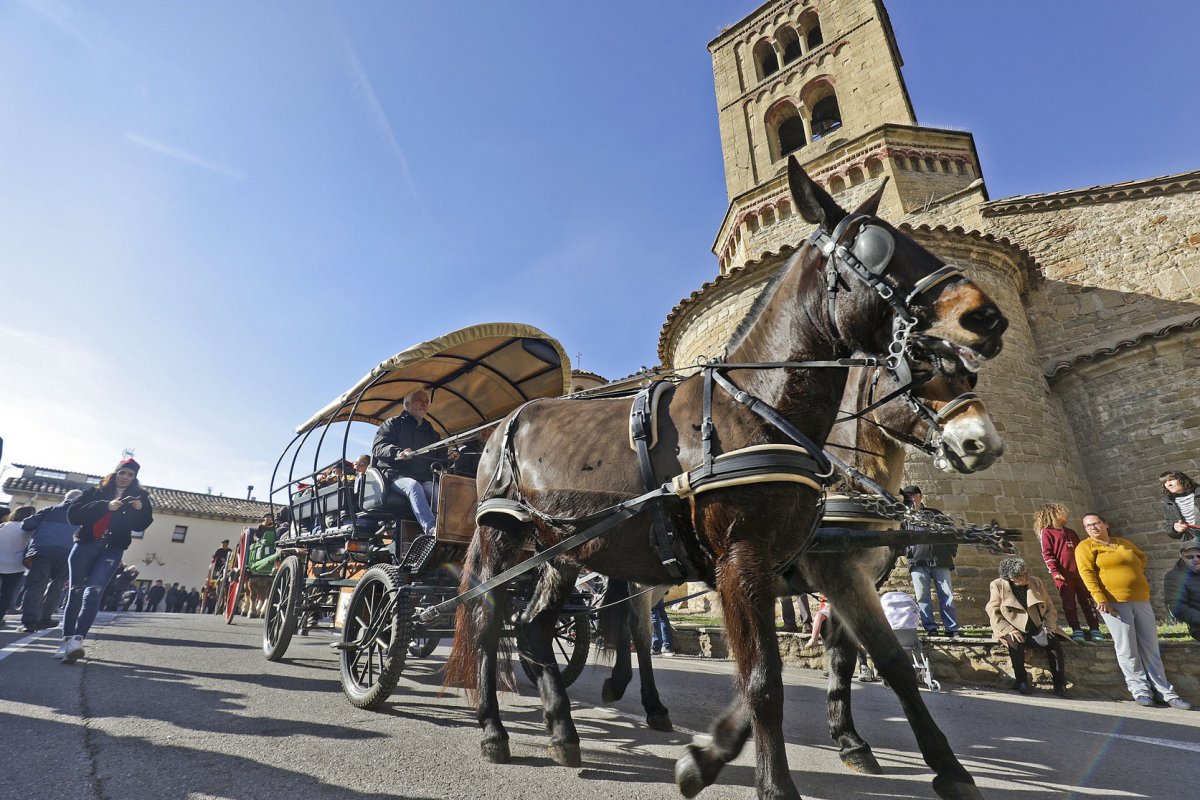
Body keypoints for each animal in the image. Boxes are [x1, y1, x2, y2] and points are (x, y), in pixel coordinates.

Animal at [446, 158, 1008, 800]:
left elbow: (880, 662)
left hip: (562, 552)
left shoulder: (806, 571)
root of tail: (507, 422)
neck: (759, 411)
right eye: (876, 246)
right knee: (488, 621)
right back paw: (494, 728)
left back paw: (564, 729)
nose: (985, 316)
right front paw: (773, 781)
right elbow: (764, 677)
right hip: (503, 537)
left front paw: (943, 767)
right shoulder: (752, 561)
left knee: (537, 630)